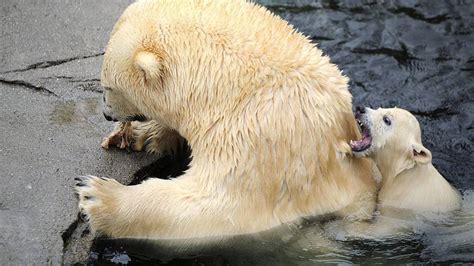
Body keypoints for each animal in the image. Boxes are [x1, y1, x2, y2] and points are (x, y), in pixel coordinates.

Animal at [76, 0, 376, 238]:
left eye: (108, 88)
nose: (106, 113)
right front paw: (142, 135)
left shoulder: (260, 138)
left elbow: (218, 207)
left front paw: (96, 196)